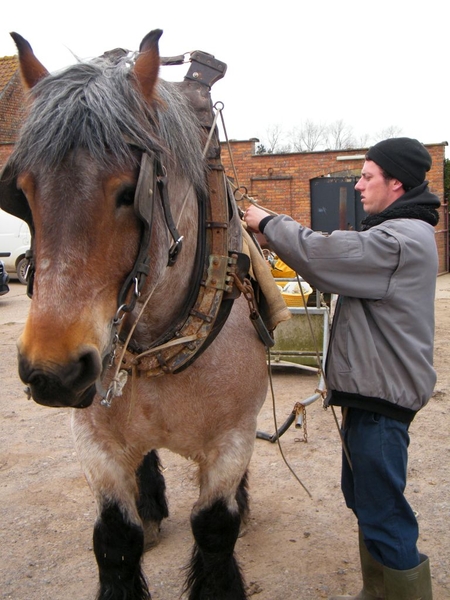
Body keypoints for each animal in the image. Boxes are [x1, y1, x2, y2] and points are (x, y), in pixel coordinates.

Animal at [0, 29, 268, 600]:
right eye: (23, 193)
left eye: (130, 191)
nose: (53, 372)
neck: (162, 343)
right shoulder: (94, 442)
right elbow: (115, 539)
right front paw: (136, 520)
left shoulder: (233, 440)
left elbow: (216, 528)